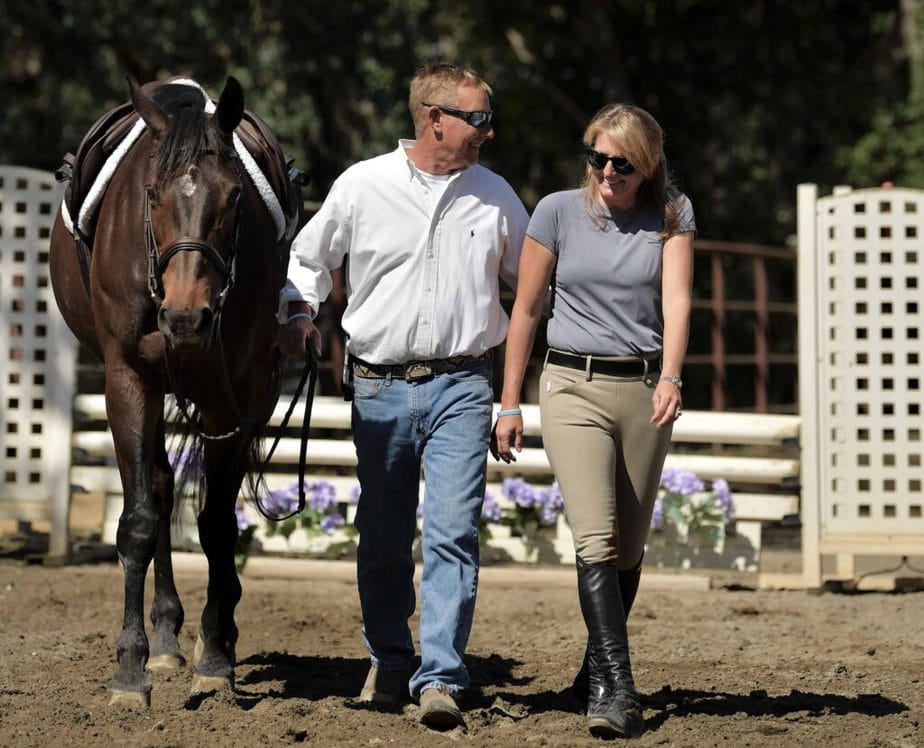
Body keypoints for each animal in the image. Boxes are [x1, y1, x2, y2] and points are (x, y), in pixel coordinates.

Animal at [49, 76, 300, 708]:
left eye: (235, 197)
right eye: (153, 194)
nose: (187, 318)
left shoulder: (233, 392)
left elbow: (217, 524)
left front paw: (216, 658)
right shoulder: (127, 380)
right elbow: (138, 518)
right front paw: (130, 670)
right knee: (159, 486)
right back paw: (162, 639)